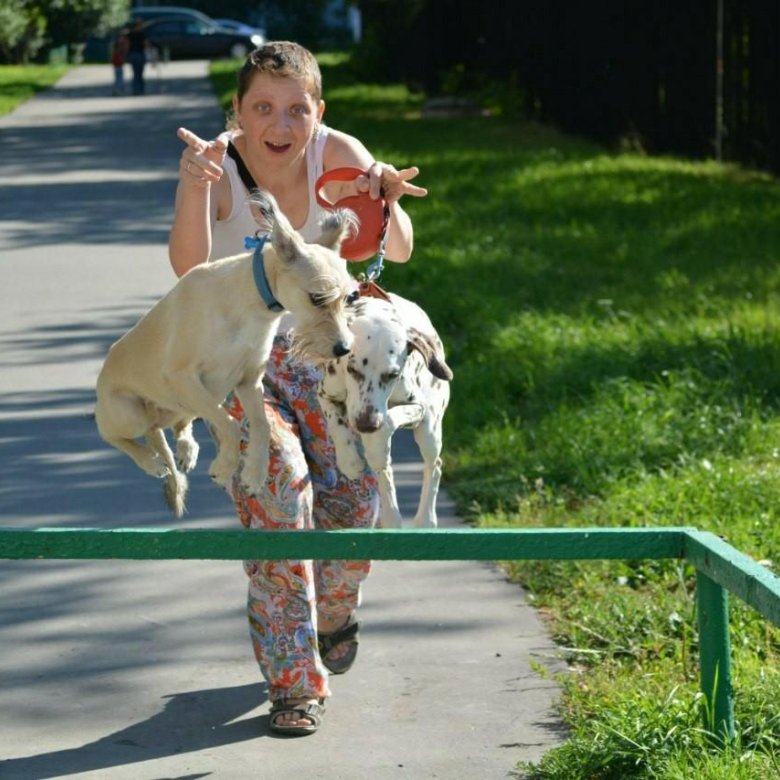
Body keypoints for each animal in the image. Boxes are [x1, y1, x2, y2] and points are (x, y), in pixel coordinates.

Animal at [95, 190, 360, 516]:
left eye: (350, 297)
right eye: (317, 298)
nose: (343, 348)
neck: (251, 300)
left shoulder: (248, 382)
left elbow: (260, 426)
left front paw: (254, 473)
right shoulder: (183, 378)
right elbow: (232, 426)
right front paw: (225, 468)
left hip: (192, 404)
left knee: (175, 427)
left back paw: (186, 449)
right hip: (132, 412)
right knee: (113, 434)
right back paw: (150, 460)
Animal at [316, 292, 450, 532]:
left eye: (392, 374)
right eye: (352, 369)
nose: (366, 424)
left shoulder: (417, 407)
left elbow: (389, 420)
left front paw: (377, 438)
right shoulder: (325, 394)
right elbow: (337, 426)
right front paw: (350, 461)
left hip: (430, 430)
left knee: (433, 465)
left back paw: (424, 518)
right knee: (385, 473)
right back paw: (391, 516)